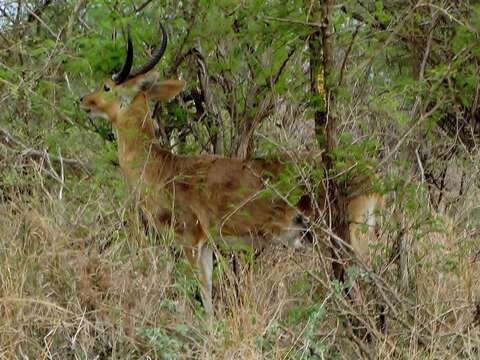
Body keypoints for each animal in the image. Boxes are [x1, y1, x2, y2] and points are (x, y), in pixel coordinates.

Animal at [81, 23, 382, 314]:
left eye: (107, 86)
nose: (84, 101)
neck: (163, 168)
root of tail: (370, 176)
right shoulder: (206, 245)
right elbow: (208, 298)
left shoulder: (189, 240)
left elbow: (199, 295)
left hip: (341, 238)